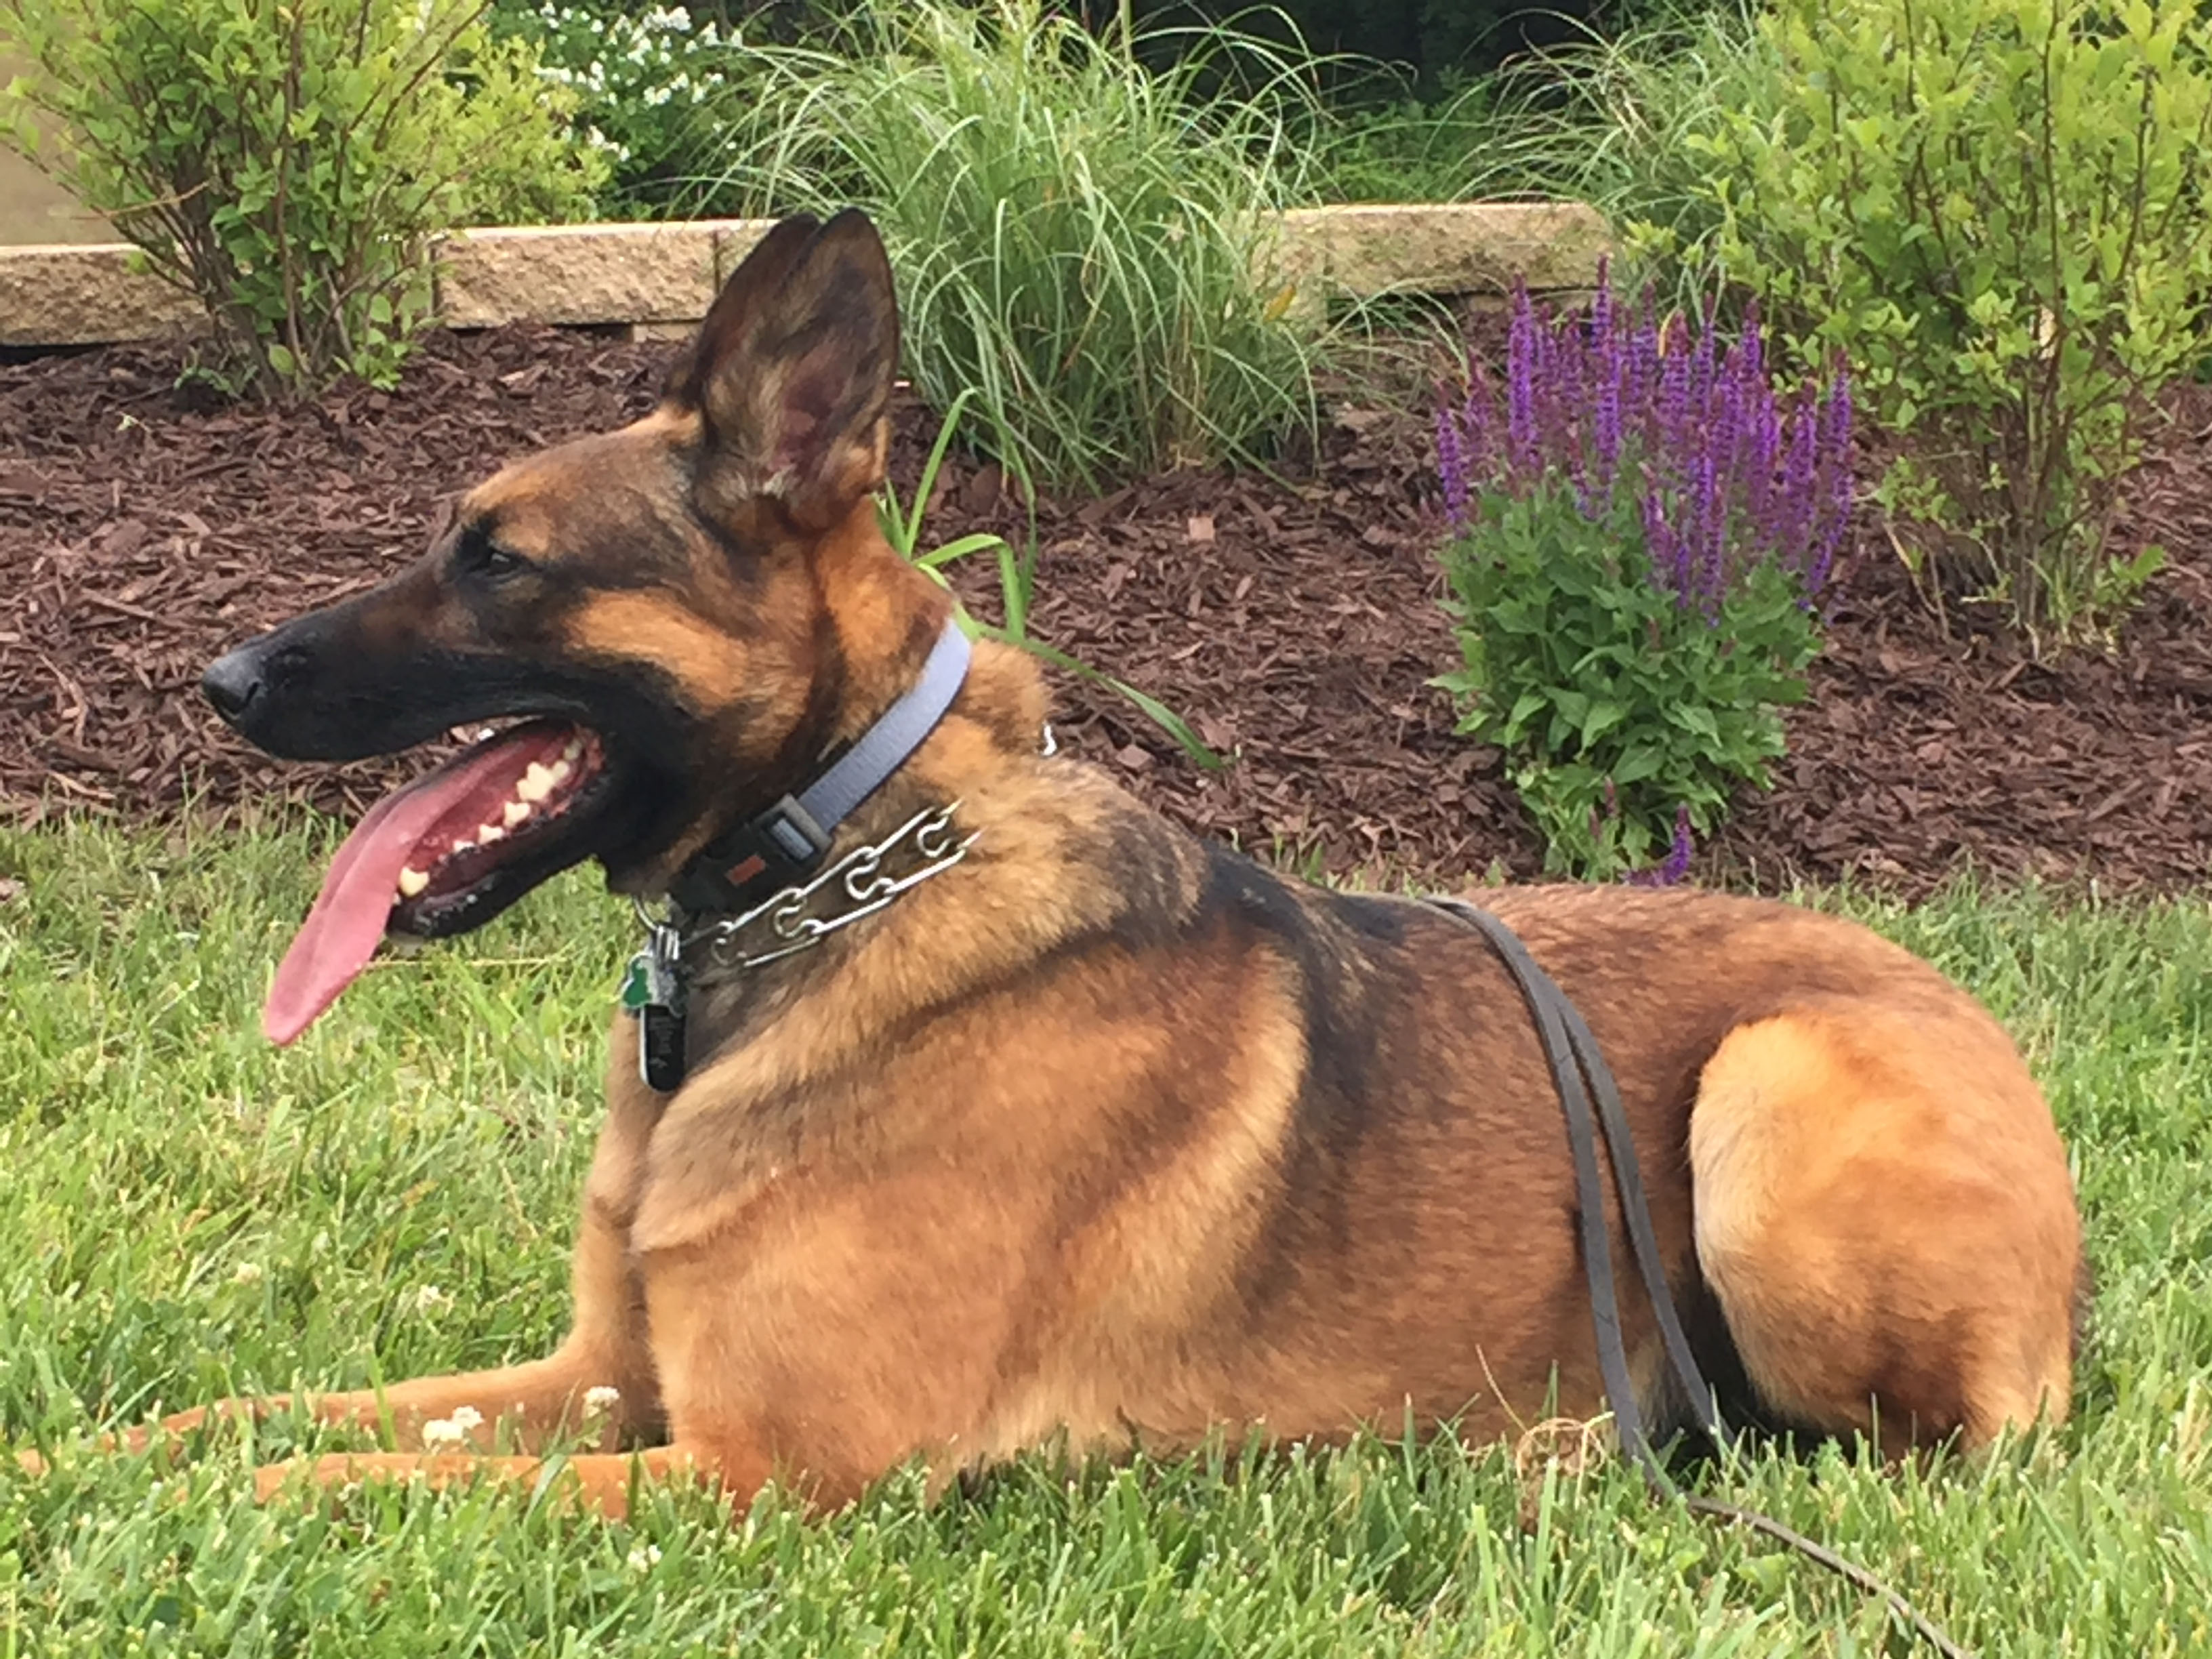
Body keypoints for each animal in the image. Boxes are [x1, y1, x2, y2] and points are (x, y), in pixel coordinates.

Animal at [147, 210, 2079, 1515]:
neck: (846, 855)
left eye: (499, 561)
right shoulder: (600, 1381)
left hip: (1771, 1092)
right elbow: (270, 1421)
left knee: (1911, 1452)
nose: (219, 681)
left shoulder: (765, 1468)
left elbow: (343, 1488)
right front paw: (112, 1442)